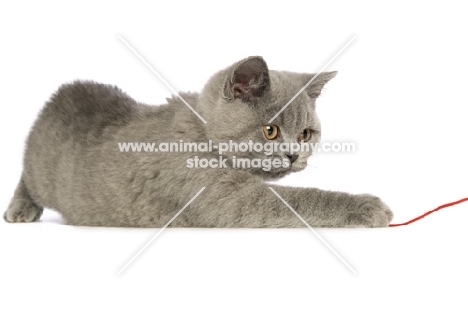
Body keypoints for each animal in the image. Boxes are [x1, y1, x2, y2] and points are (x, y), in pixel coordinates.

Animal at [2, 55, 392, 226]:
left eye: (305, 134)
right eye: (270, 131)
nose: (294, 155)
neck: (203, 135)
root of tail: (65, 93)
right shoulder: (222, 195)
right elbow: (293, 200)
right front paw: (368, 206)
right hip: (40, 169)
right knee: (26, 174)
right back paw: (20, 209)